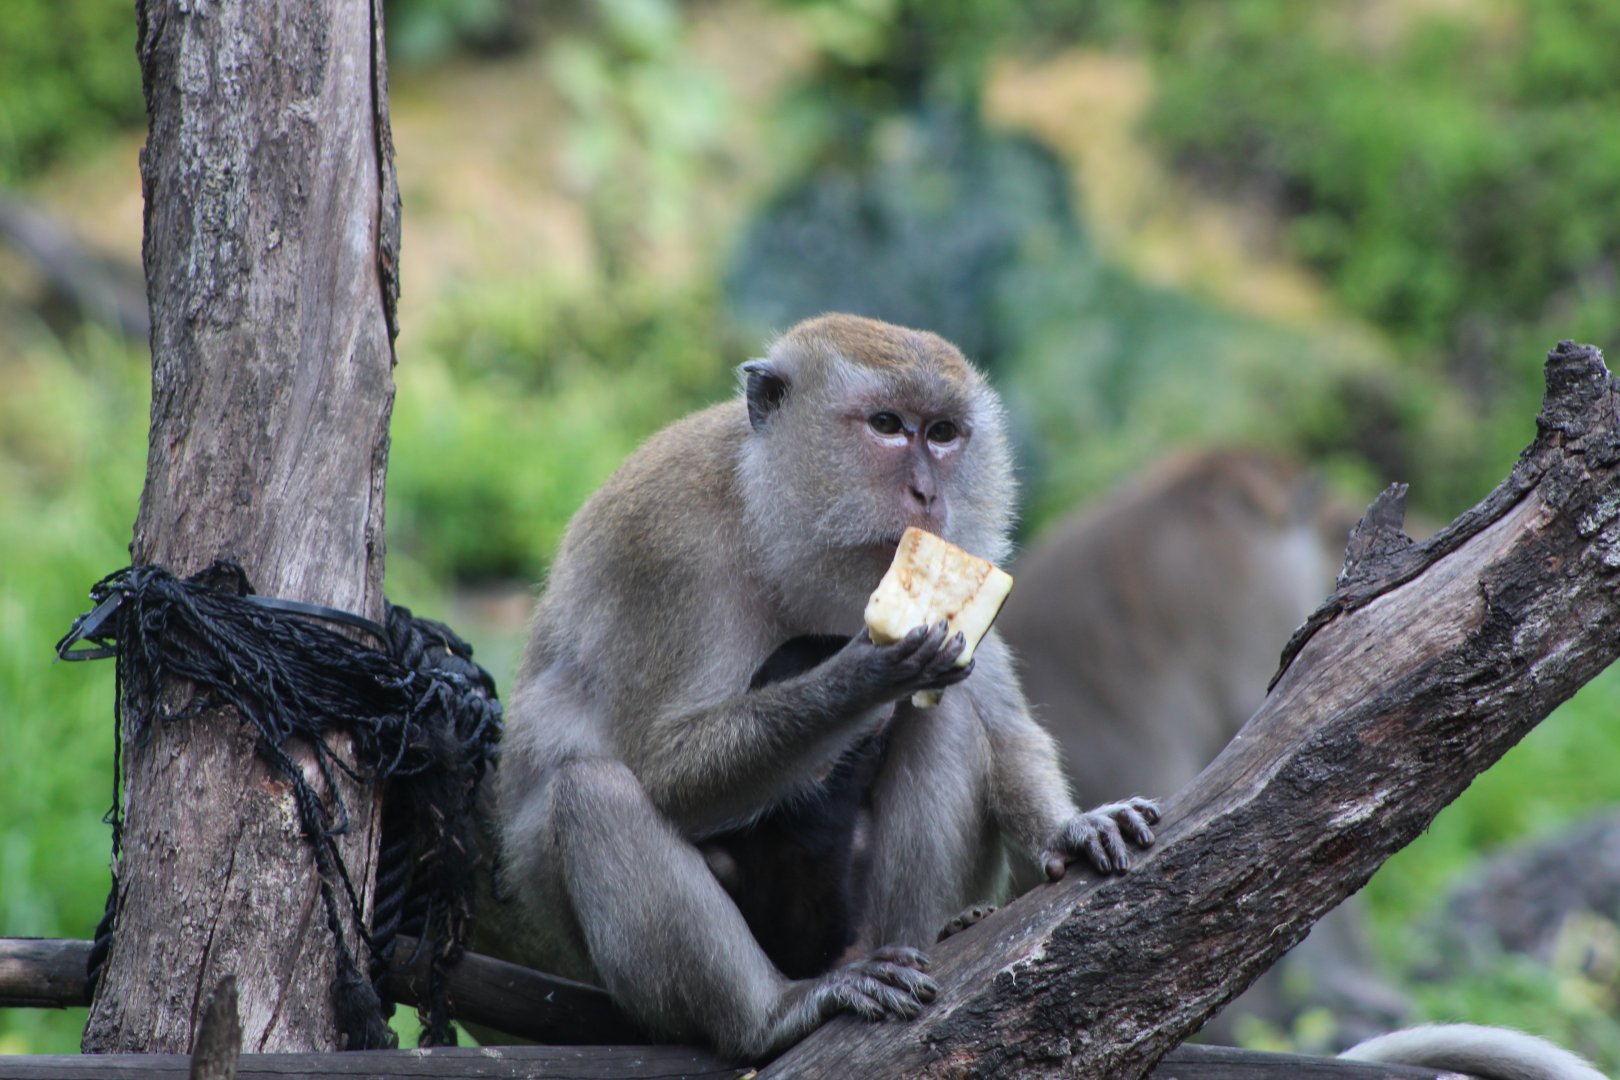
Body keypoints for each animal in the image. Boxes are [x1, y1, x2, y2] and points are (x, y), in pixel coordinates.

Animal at [477, 313, 1159, 1059]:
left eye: (942, 433)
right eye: (887, 425)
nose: (928, 494)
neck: (767, 506)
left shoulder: (968, 558)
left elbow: (1002, 728)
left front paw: (1070, 829)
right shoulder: (669, 552)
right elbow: (666, 771)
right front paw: (864, 678)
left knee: (943, 722)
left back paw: (920, 943)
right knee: (593, 792)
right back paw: (773, 1015)